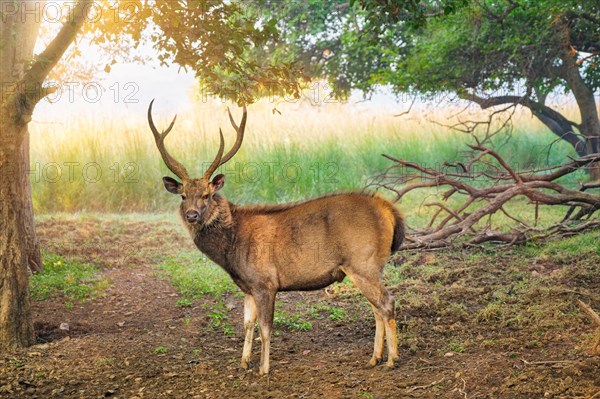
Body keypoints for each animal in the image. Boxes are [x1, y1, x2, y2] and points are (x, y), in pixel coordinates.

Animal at [148, 100, 406, 376]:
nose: (192, 215)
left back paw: (392, 359)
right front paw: (243, 362)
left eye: (207, 195)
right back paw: (375, 358)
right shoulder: (248, 286)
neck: (232, 248)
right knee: (376, 308)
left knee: (386, 303)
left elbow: (265, 327)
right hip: (366, 267)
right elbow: (247, 324)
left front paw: (264, 369)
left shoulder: (265, 281)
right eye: (183, 195)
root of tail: (389, 210)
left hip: (363, 262)